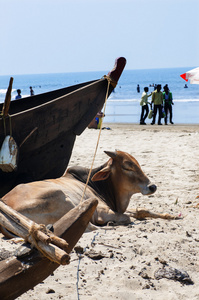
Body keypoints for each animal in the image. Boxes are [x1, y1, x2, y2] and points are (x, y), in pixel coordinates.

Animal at [0, 149, 176, 237]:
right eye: (127, 167)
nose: (152, 186)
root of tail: (6, 207)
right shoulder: (102, 211)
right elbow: (126, 218)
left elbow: (142, 211)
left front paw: (172, 216)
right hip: (64, 200)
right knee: (90, 228)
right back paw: (110, 226)